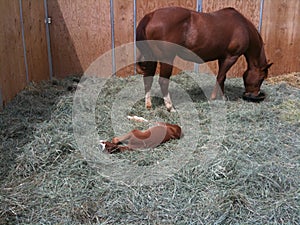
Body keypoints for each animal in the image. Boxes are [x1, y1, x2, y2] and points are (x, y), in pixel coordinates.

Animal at [136, 7, 272, 111]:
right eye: (261, 78)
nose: (253, 94)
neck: (243, 27)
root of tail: (151, 16)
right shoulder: (231, 57)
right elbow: (220, 77)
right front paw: (214, 97)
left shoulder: (222, 58)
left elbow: (222, 77)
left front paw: (222, 96)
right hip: (167, 59)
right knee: (163, 82)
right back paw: (170, 107)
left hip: (151, 58)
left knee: (148, 79)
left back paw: (149, 105)